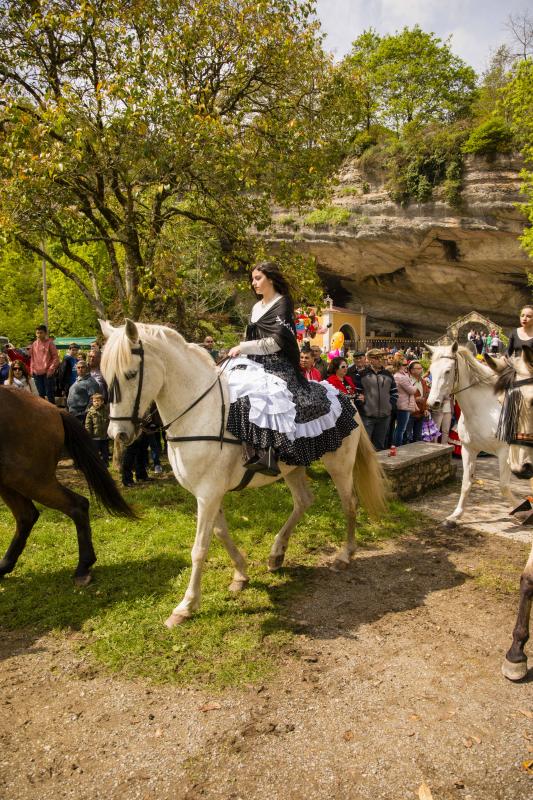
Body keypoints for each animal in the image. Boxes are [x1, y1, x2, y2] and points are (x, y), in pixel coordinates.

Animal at [0, 387, 135, 586]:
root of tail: (55, 410)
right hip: (11, 481)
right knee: (27, 516)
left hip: (30, 479)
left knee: (76, 505)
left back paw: (83, 567)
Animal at [100, 319, 387, 627]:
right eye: (104, 376)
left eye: (130, 374)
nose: (117, 435)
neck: (200, 412)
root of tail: (344, 396)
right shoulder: (209, 494)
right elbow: (220, 532)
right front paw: (240, 573)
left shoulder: (208, 494)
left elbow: (200, 548)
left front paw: (186, 606)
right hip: (293, 468)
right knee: (303, 501)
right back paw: (276, 554)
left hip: (340, 466)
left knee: (349, 504)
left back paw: (344, 555)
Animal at [426, 342, 515, 526]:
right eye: (430, 370)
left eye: (448, 371)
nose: (432, 403)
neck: (483, 408)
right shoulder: (469, 449)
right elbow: (466, 483)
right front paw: (455, 515)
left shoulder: (505, 452)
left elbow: (504, 486)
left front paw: (524, 512)